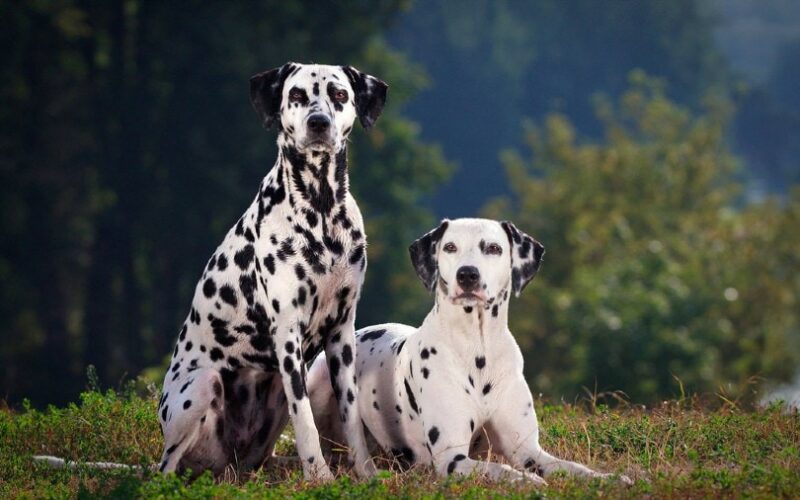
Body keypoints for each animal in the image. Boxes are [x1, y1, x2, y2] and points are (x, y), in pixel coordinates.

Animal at [155, 62, 388, 480]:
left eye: (339, 94)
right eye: (296, 95)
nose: (318, 122)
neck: (321, 209)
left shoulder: (342, 332)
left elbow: (351, 416)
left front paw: (366, 474)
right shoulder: (288, 336)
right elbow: (306, 421)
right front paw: (320, 477)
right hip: (201, 386)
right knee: (165, 467)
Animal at [306, 219, 632, 484]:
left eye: (493, 248)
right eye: (450, 247)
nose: (467, 275)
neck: (478, 349)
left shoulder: (528, 451)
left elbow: (572, 468)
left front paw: (608, 478)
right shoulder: (451, 459)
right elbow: (500, 469)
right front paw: (526, 481)